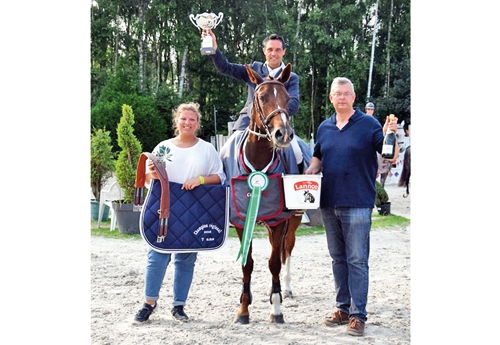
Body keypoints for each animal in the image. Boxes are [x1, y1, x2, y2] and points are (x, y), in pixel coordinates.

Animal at [222, 62, 300, 322]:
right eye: (262, 97)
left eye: (288, 98)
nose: (283, 134)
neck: (257, 163)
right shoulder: (241, 221)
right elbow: (247, 263)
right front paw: (244, 308)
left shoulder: (279, 221)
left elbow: (274, 262)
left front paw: (276, 308)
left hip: (294, 218)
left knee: (287, 249)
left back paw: (285, 287)